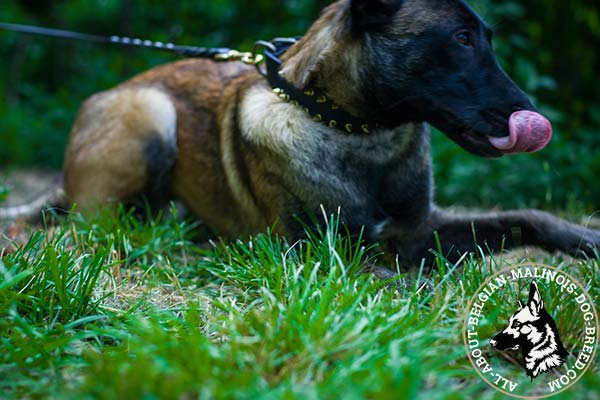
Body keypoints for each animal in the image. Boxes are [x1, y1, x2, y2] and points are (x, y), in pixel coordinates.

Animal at [4, 0, 600, 268]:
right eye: (459, 38)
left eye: (486, 38)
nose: (531, 116)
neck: (359, 131)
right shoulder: (312, 250)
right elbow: (372, 263)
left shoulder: (419, 226)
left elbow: (526, 216)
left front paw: (583, 238)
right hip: (152, 116)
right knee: (90, 226)